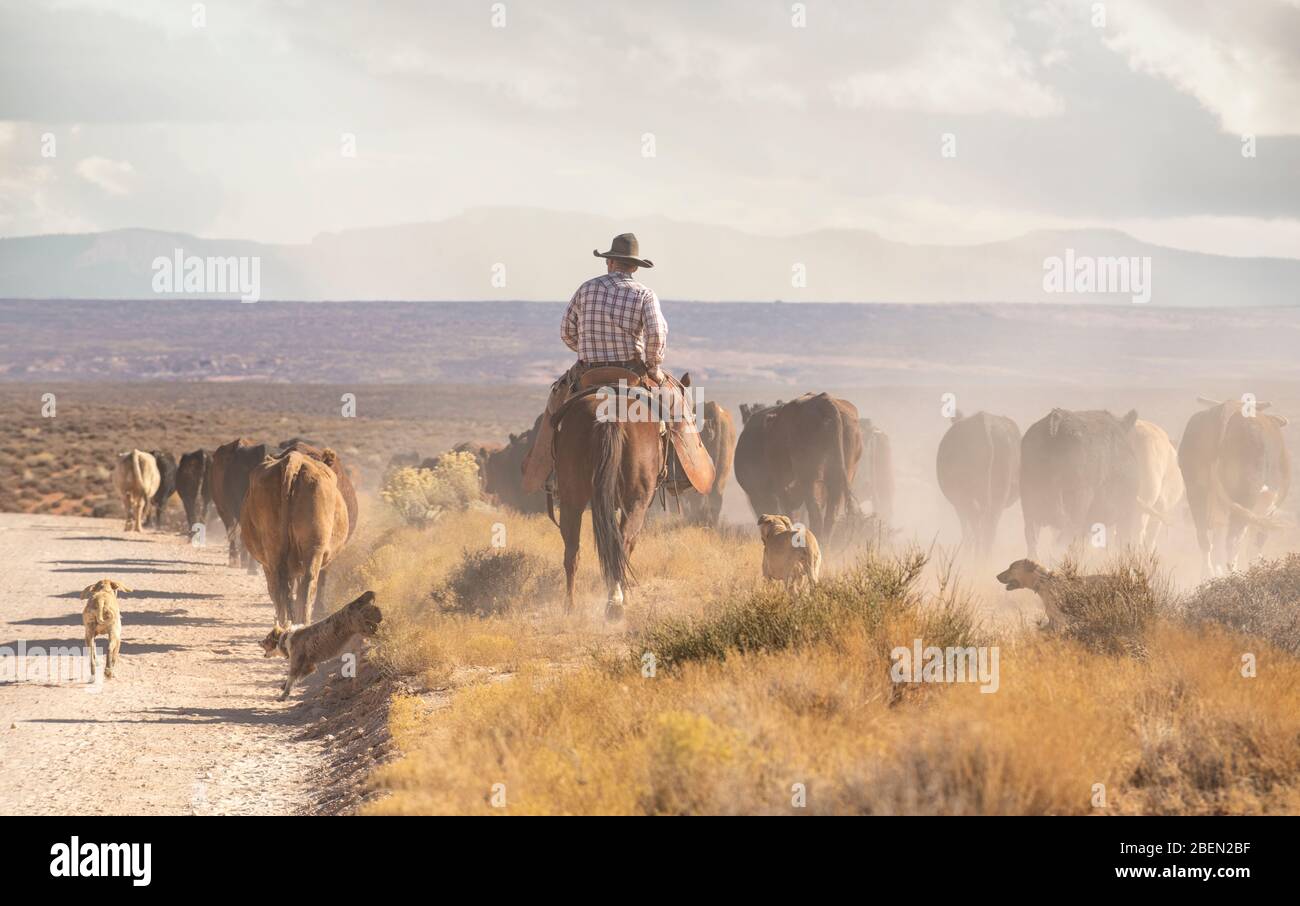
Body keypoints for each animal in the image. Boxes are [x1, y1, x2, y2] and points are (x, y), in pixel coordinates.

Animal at [240, 449, 351, 626]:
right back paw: (300, 623)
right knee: (306, 583)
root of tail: (294, 459)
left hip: (274, 547)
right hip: (313, 547)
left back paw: (284, 624)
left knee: (281, 586)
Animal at [553, 392, 665, 618]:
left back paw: (570, 605)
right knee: (622, 542)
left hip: (571, 499)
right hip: (636, 502)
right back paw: (615, 602)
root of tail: (611, 416)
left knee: (572, 550)